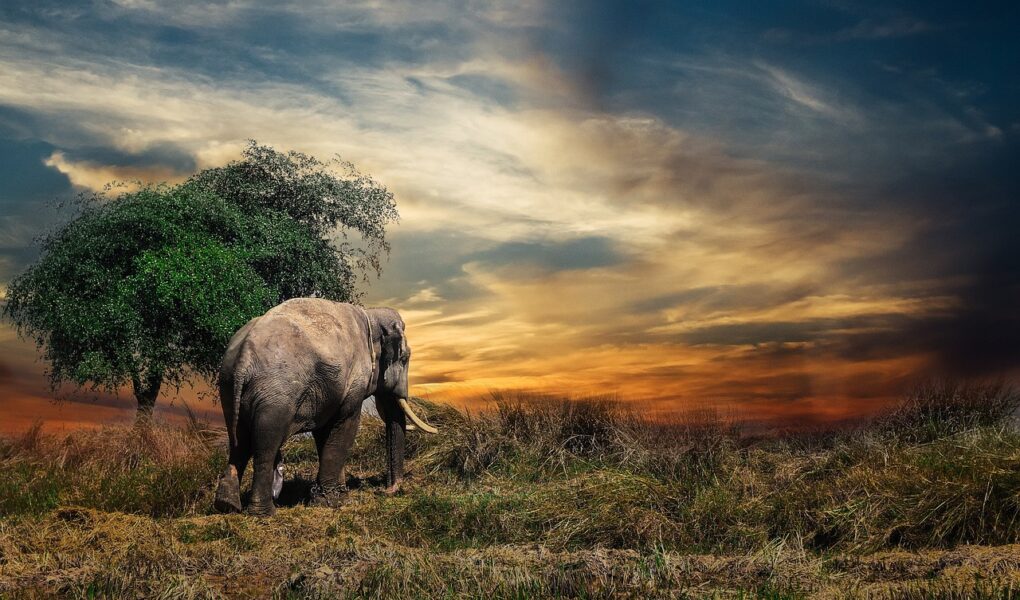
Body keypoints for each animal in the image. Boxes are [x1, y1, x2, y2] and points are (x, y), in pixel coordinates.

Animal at [213, 298, 438, 516]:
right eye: (405, 358)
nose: (387, 490)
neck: (370, 315)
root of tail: (244, 357)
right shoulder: (353, 381)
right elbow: (345, 426)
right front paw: (330, 502)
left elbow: (325, 433)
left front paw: (337, 497)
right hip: (275, 394)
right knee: (265, 445)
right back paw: (264, 513)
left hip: (228, 387)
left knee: (239, 441)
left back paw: (227, 506)